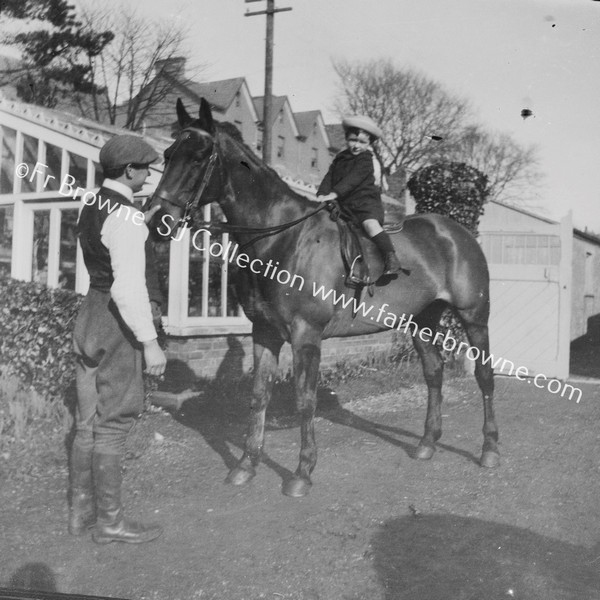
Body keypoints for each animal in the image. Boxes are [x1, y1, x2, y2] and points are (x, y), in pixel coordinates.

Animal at [149, 99, 496, 496]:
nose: (157, 219)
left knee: (484, 375)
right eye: (168, 154)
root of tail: (457, 233)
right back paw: (426, 443)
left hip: (474, 317)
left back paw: (489, 449)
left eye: (198, 157)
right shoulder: (264, 333)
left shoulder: (305, 335)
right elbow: (259, 396)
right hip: (422, 320)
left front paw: (302, 472)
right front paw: (246, 465)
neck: (281, 238)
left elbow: (305, 400)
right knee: (434, 373)